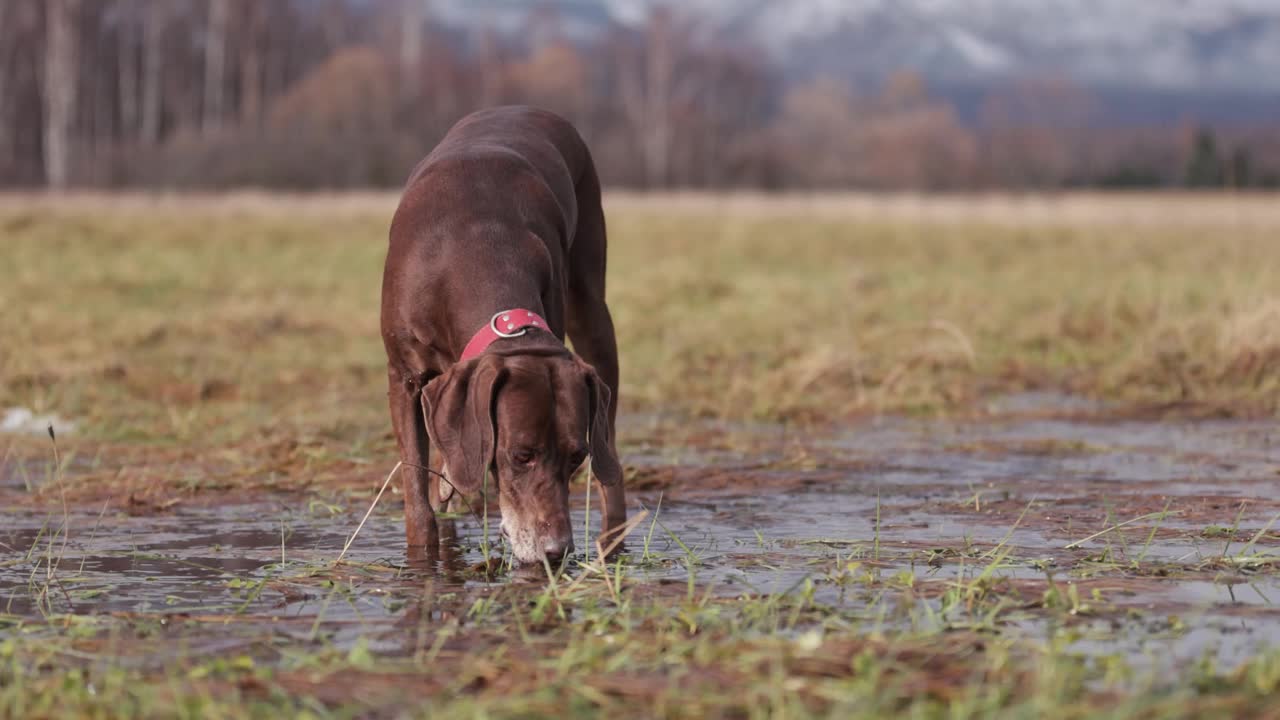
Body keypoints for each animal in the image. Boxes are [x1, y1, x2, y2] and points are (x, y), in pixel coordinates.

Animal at [378, 107, 624, 566]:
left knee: (611, 452)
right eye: (521, 455)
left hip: (593, 312)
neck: (473, 244)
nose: (557, 551)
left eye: (576, 457)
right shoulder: (403, 376)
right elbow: (417, 493)